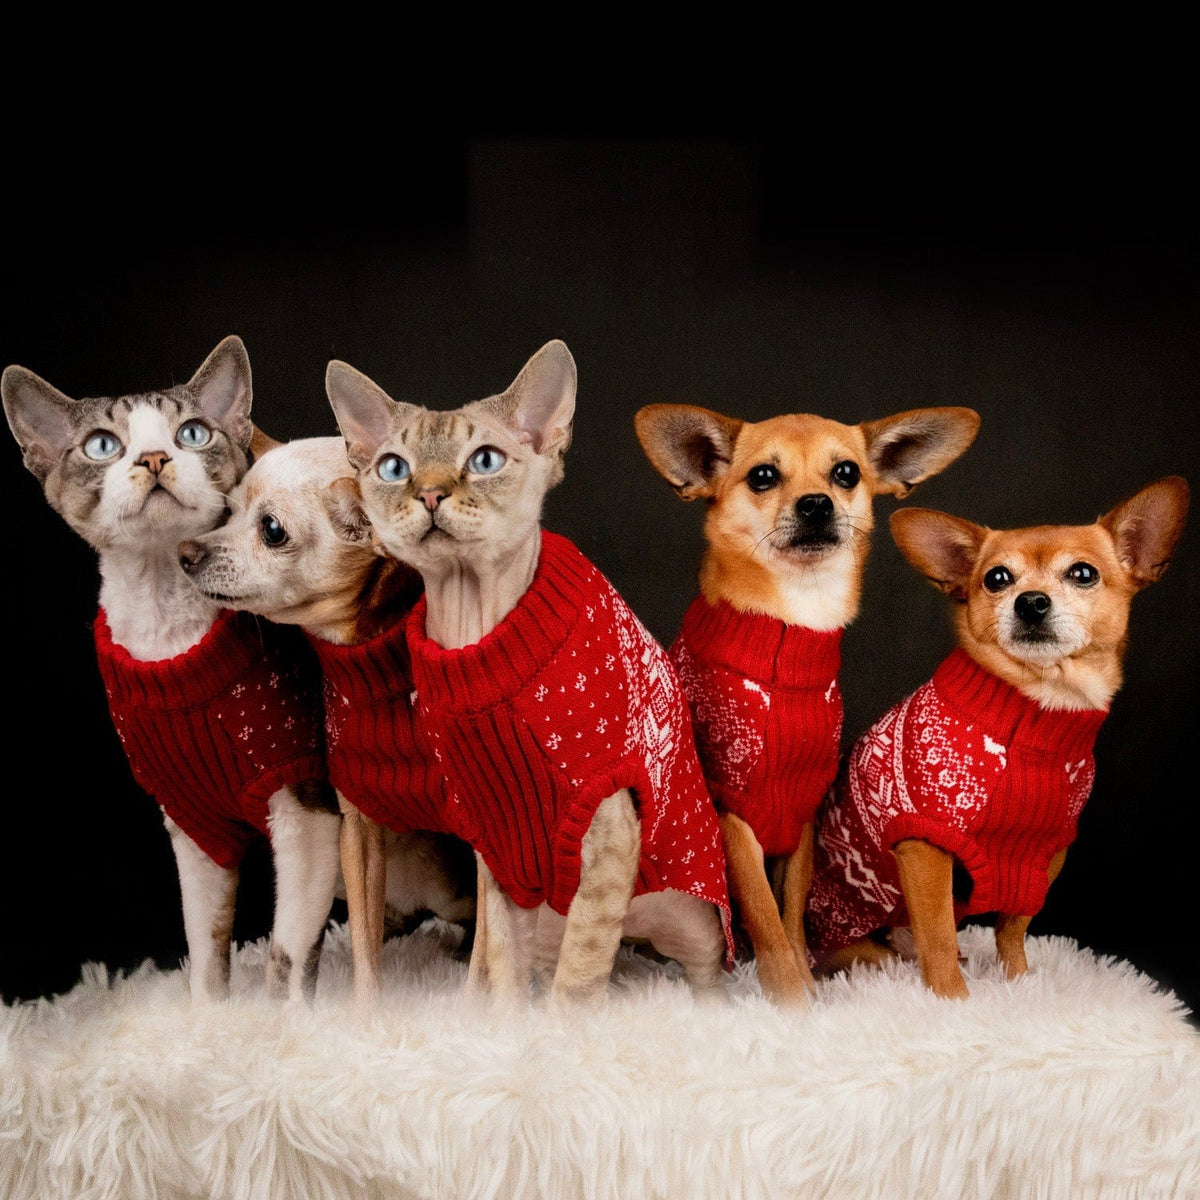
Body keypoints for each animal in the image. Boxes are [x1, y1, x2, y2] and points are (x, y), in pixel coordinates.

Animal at [2, 338, 340, 1003]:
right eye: (101, 445)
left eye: (193, 433)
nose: (155, 457)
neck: (168, 634)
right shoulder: (192, 824)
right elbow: (205, 950)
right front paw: (207, 1020)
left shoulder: (308, 810)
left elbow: (287, 956)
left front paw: (284, 1024)